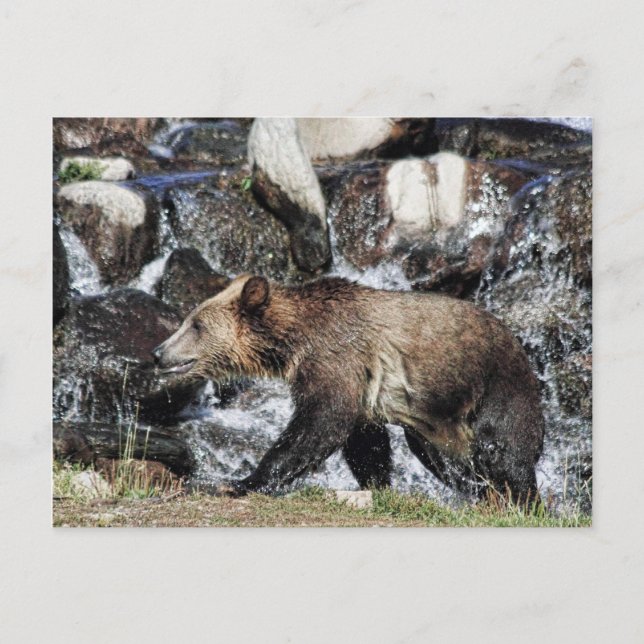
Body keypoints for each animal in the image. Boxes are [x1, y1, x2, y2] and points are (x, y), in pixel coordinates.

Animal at [152, 274, 544, 502]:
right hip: (438, 422)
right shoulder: (362, 385)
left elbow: (319, 424)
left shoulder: (336, 357)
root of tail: (519, 344)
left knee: (504, 450)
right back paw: (480, 491)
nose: (158, 352)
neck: (292, 341)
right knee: (445, 461)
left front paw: (242, 481)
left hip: (496, 385)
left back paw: (520, 499)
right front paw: (379, 484)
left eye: (196, 325)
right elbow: (363, 441)